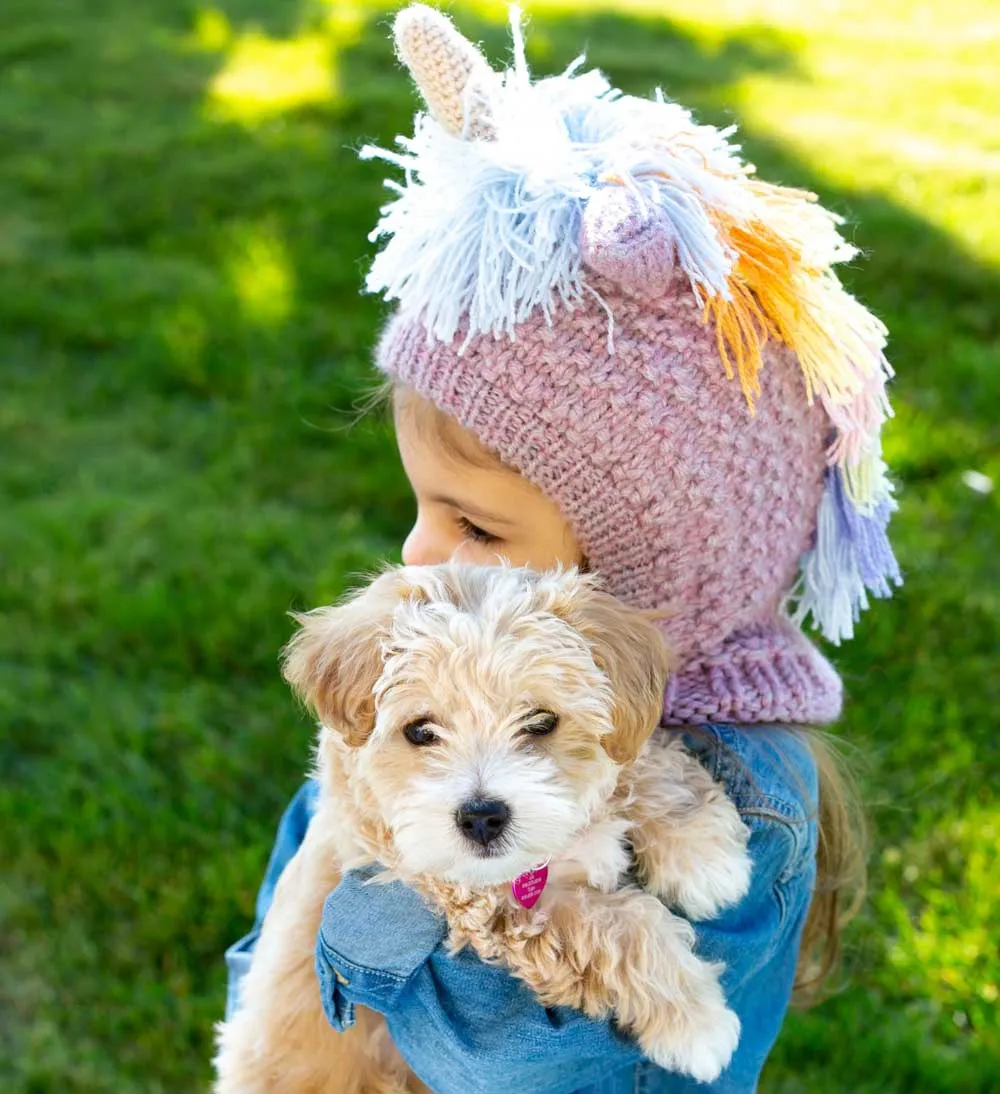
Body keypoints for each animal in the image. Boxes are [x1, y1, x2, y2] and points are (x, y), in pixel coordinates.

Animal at [216, 568, 748, 1089]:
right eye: (420, 731)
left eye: (540, 722)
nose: (482, 817)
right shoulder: (488, 903)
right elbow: (616, 927)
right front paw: (695, 1021)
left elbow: (636, 758)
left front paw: (702, 854)